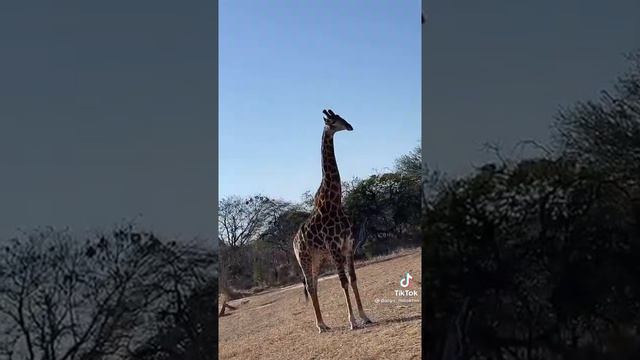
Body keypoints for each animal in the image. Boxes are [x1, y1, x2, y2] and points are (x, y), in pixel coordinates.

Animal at [292, 108, 372, 334]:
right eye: (333, 121)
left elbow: (353, 279)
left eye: (342, 116)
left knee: (314, 285)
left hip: (317, 258)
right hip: (304, 258)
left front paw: (364, 316)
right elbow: (343, 282)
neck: (334, 202)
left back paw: (324, 324)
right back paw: (319, 325)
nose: (350, 126)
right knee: (310, 286)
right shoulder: (335, 248)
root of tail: (293, 241)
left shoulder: (348, 246)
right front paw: (352, 321)